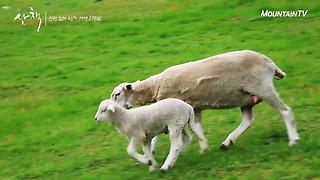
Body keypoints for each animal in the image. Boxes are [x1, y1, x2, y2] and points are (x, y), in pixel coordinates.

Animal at [110, 49, 300, 152]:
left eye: (117, 94)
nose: (111, 108)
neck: (155, 86)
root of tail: (271, 64)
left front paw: (154, 149)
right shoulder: (195, 108)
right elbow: (197, 128)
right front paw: (204, 147)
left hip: (263, 88)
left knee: (286, 112)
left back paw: (293, 140)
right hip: (246, 98)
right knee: (247, 121)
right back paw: (227, 143)